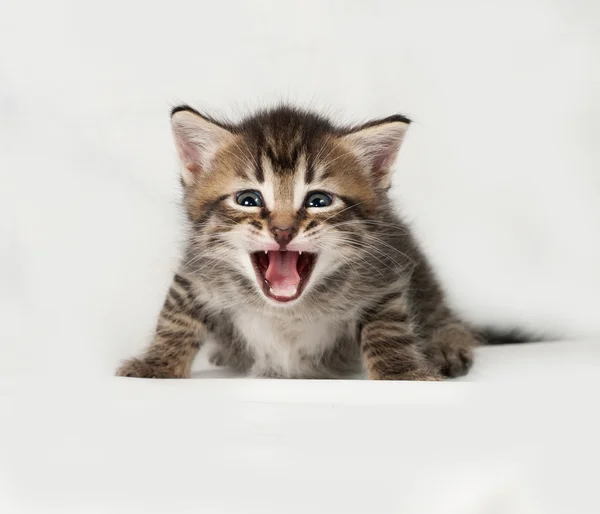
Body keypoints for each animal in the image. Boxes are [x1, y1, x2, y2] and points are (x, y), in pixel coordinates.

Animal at [116, 104, 478, 378]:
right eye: (248, 199)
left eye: (319, 201)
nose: (283, 231)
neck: (286, 311)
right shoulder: (195, 272)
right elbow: (176, 319)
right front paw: (155, 365)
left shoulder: (383, 276)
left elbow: (388, 329)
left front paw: (403, 374)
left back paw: (448, 346)